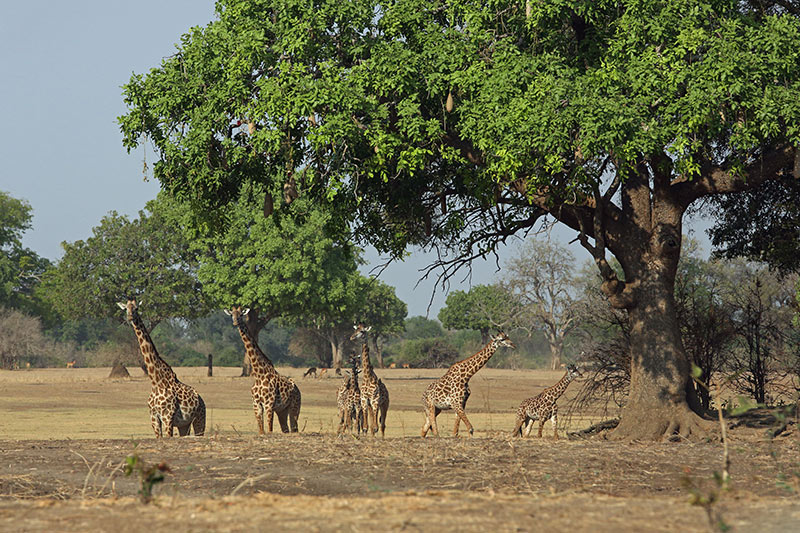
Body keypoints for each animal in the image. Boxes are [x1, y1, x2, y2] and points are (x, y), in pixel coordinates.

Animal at [119, 300, 208, 436]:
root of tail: (202, 400)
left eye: (137, 308)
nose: (130, 316)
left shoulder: (167, 417)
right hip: (184, 424)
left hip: (199, 419)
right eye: (126, 308)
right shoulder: (154, 418)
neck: (156, 382)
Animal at [223, 306, 302, 434]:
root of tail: (297, 390)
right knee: (285, 429)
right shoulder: (257, 405)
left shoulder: (269, 404)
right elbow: (261, 430)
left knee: (294, 428)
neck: (259, 374)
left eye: (241, 314)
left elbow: (269, 430)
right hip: (282, 410)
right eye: (232, 314)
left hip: (295, 407)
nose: (235, 322)